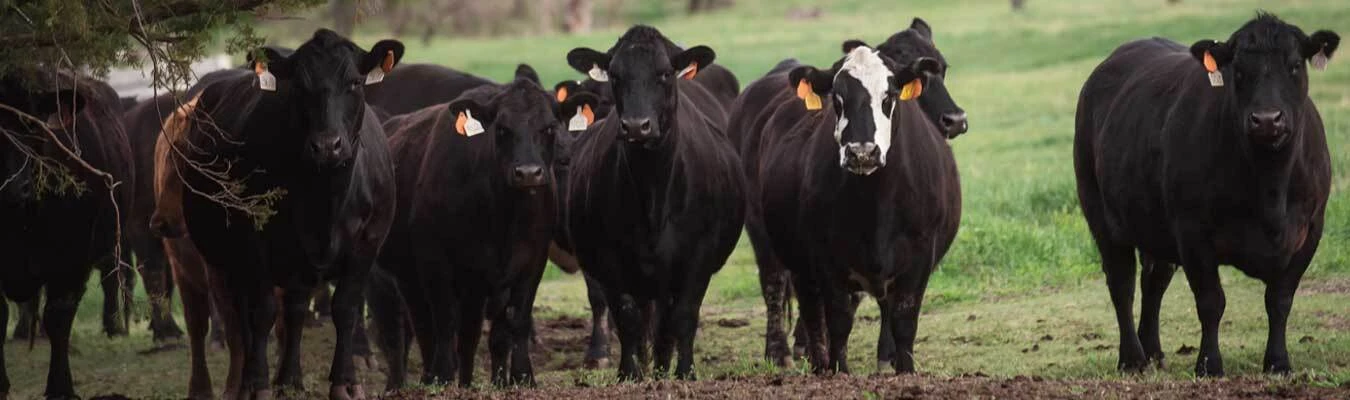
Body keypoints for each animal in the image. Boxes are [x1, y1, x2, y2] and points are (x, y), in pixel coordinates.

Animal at [160, 29, 402, 399]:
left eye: (355, 83)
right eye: (299, 87)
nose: (327, 145)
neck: (324, 201)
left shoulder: (366, 245)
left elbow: (345, 309)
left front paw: (345, 382)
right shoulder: (255, 246)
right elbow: (262, 315)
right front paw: (258, 385)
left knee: (294, 310)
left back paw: (289, 379)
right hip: (223, 259)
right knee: (238, 320)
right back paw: (246, 381)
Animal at [373, 71, 602, 388]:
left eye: (549, 128)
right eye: (502, 129)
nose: (528, 173)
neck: (503, 217)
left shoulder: (529, 264)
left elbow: (514, 321)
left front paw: (521, 377)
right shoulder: (437, 263)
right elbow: (445, 322)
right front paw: (444, 376)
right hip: (410, 275)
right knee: (423, 325)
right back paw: (432, 375)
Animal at [563, 25, 746, 380]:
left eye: (664, 73)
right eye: (615, 75)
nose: (637, 125)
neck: (653, 196)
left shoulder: (698, 256)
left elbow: (684, 316)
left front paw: (685, 372)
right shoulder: (608, 257)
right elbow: (627, 315)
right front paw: (629, 373)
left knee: (666, 324)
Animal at [752, 42, 960, 374]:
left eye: (888, 96)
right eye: (837, 98)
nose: (862, 152)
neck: (875, 201)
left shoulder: (919, 257)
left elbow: (904, 321)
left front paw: (906, 371)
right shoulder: (826, 258)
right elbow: (837, 320)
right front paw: (840, 371)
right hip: (796, 262)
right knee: (810, 312)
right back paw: (816, 364)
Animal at [1074, 13, 1337, 377]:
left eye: (1295, 65)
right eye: (1238, 71)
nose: (1267, 120)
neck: (1270, 187)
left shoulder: (1310, 229)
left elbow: (1280, 299)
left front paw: (1278, 362)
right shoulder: (1192, 232)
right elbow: (1211, 301)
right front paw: (1209, 364)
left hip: (1153, 224)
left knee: (1154, 280)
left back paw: (1152, 350)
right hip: (1100, 213)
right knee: (1121, 283)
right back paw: (1133, 358)